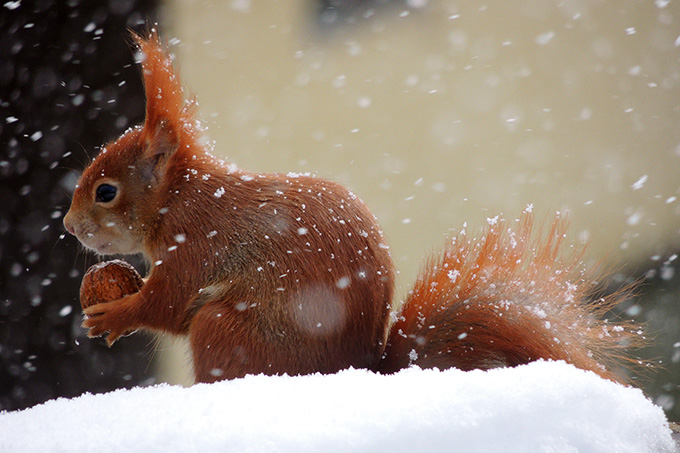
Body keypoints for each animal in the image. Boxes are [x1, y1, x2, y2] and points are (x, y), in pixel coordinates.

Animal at [63, 31, 636, 384]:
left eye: (106, 191)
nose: (68, 226)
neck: (179, 199)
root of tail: (361, 366)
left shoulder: (196, 243)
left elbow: (168, 303)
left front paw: (116, 312)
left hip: (227, 330)